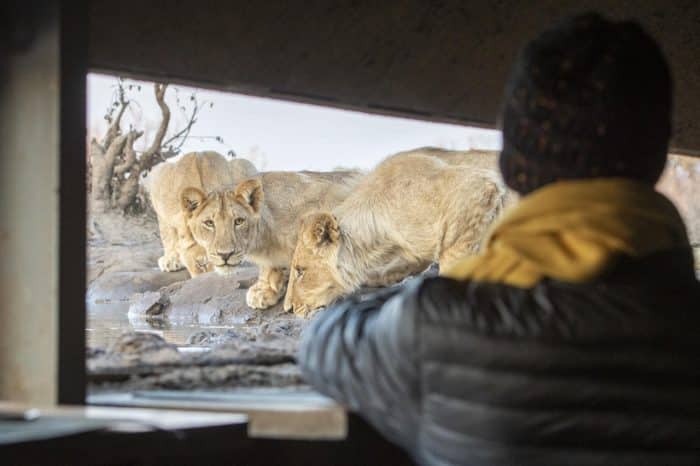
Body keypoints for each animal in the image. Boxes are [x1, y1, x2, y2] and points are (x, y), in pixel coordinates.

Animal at [178, 169, 364, 308]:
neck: (265, 238)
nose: (225, 255)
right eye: (209, 223)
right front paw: (266, 289)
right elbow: (270, 267)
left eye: (238, 221)